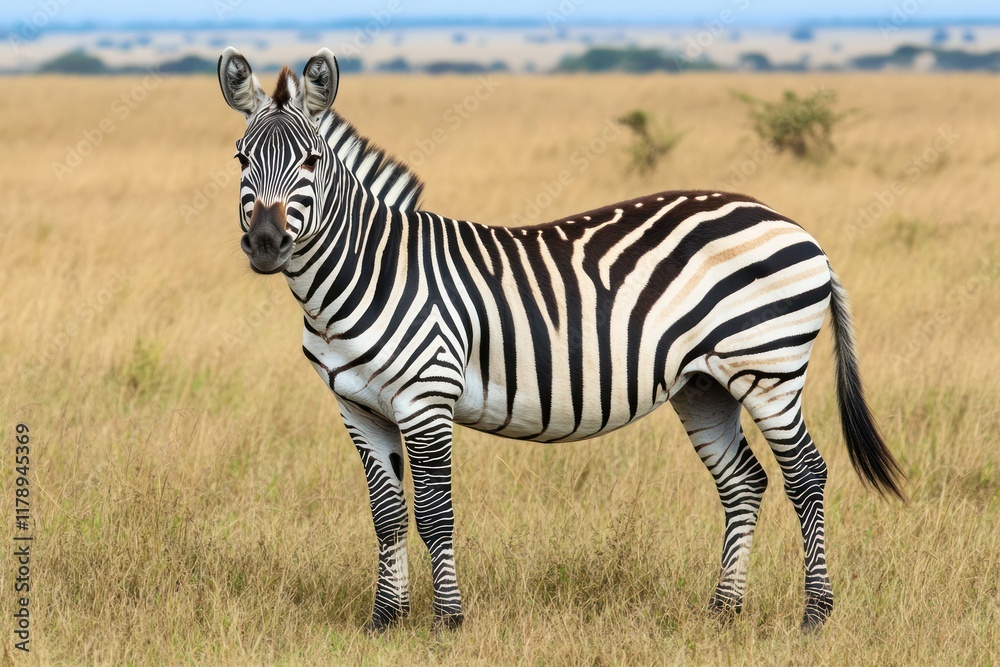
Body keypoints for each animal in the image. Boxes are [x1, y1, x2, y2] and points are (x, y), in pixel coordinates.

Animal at [217, 47, 905, 633]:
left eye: (310, 163)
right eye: (241, 160)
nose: (266, 245)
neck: (366, 271)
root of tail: (791, 224)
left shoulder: (425, 397)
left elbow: (435, 513)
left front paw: (447, 623)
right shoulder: (356, 406)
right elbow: (387, 517)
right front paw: (385, 620)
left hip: (767, 368)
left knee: (806, 476)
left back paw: (815, 615)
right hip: (704, 385)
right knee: (745, 482)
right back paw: (722, 611)